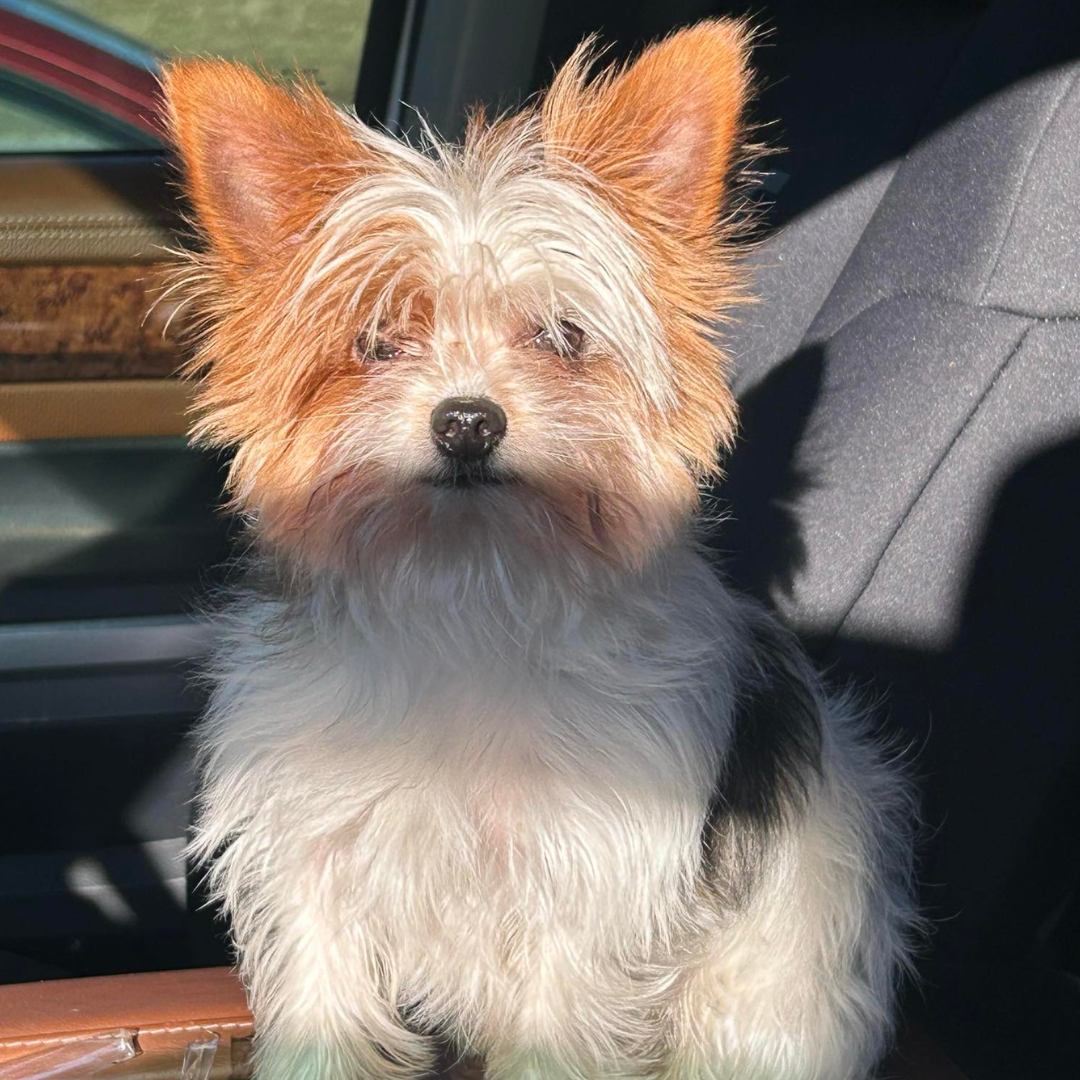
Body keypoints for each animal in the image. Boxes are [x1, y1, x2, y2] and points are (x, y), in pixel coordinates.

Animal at [164, 23, 915, 1080]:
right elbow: (322, 1013)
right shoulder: (317, 865)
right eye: (378, 340)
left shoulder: (586, 897)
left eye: (564, 336)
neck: (472, 586)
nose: (468, 421)